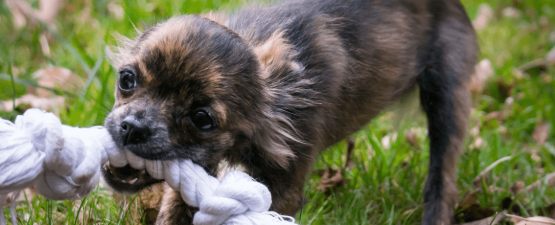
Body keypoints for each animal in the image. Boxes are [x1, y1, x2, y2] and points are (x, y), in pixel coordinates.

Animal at [102, 0, 480, 224]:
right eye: (126, 79)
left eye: (202, 119)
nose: (133, 127)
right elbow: (175, 208)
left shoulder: (282, 187)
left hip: (447, 99)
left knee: (442, 180)